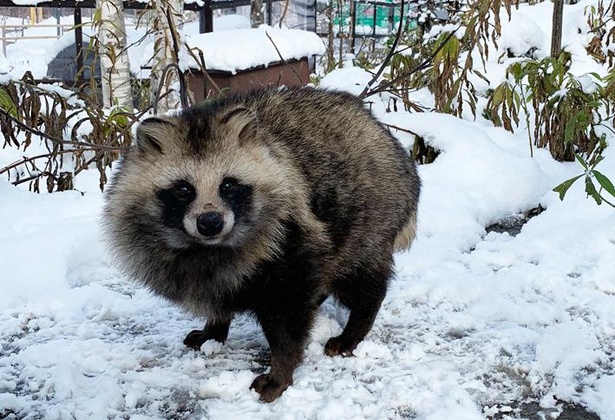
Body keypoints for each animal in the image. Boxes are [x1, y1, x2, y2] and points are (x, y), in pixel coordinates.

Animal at [103, 87, 422, 402]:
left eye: (228, 185)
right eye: (183, 189)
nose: (210, 222)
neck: (208, 248)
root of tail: (390, 141)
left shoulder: (291, 238)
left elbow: (286, 319)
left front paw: (281, 371)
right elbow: (216, 290)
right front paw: (215, 327)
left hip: (368, 218)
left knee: (360, 280)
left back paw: (355, 327)